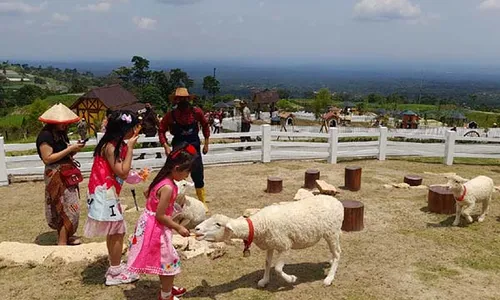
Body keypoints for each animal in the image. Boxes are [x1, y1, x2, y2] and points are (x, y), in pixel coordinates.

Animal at [193, 196, 342, 288]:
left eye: (218, 224)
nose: (196, 229)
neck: (257, 225)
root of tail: (337, 201)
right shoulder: (270, 244)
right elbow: (267, 263)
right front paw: (264, 281)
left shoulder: (285, 246)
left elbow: (277, 268)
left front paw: (291, 279)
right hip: (331, 234)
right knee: (335, 252)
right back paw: (330, 263)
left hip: (332, 232)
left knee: (338, 254)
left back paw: (329, 278)